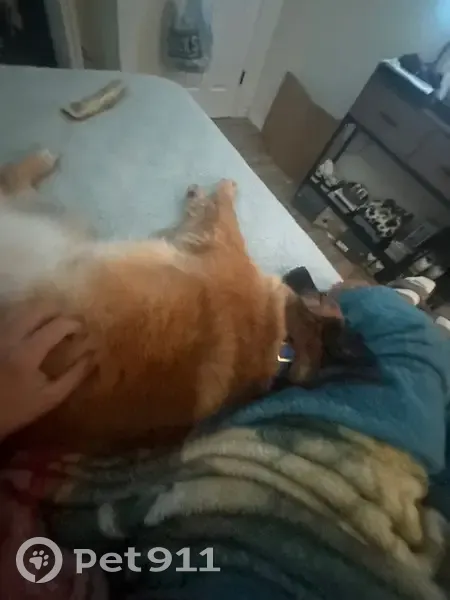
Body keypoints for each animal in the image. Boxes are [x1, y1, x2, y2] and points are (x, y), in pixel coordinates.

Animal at [0, 151, 344, 454]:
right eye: (324, 294)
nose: (302, 271)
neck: (282, 343)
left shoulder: (219, 239)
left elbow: (221, 206)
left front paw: (221, 188)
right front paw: (201, 196)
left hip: (55, 226)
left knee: (11, 183)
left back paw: (39, 160)